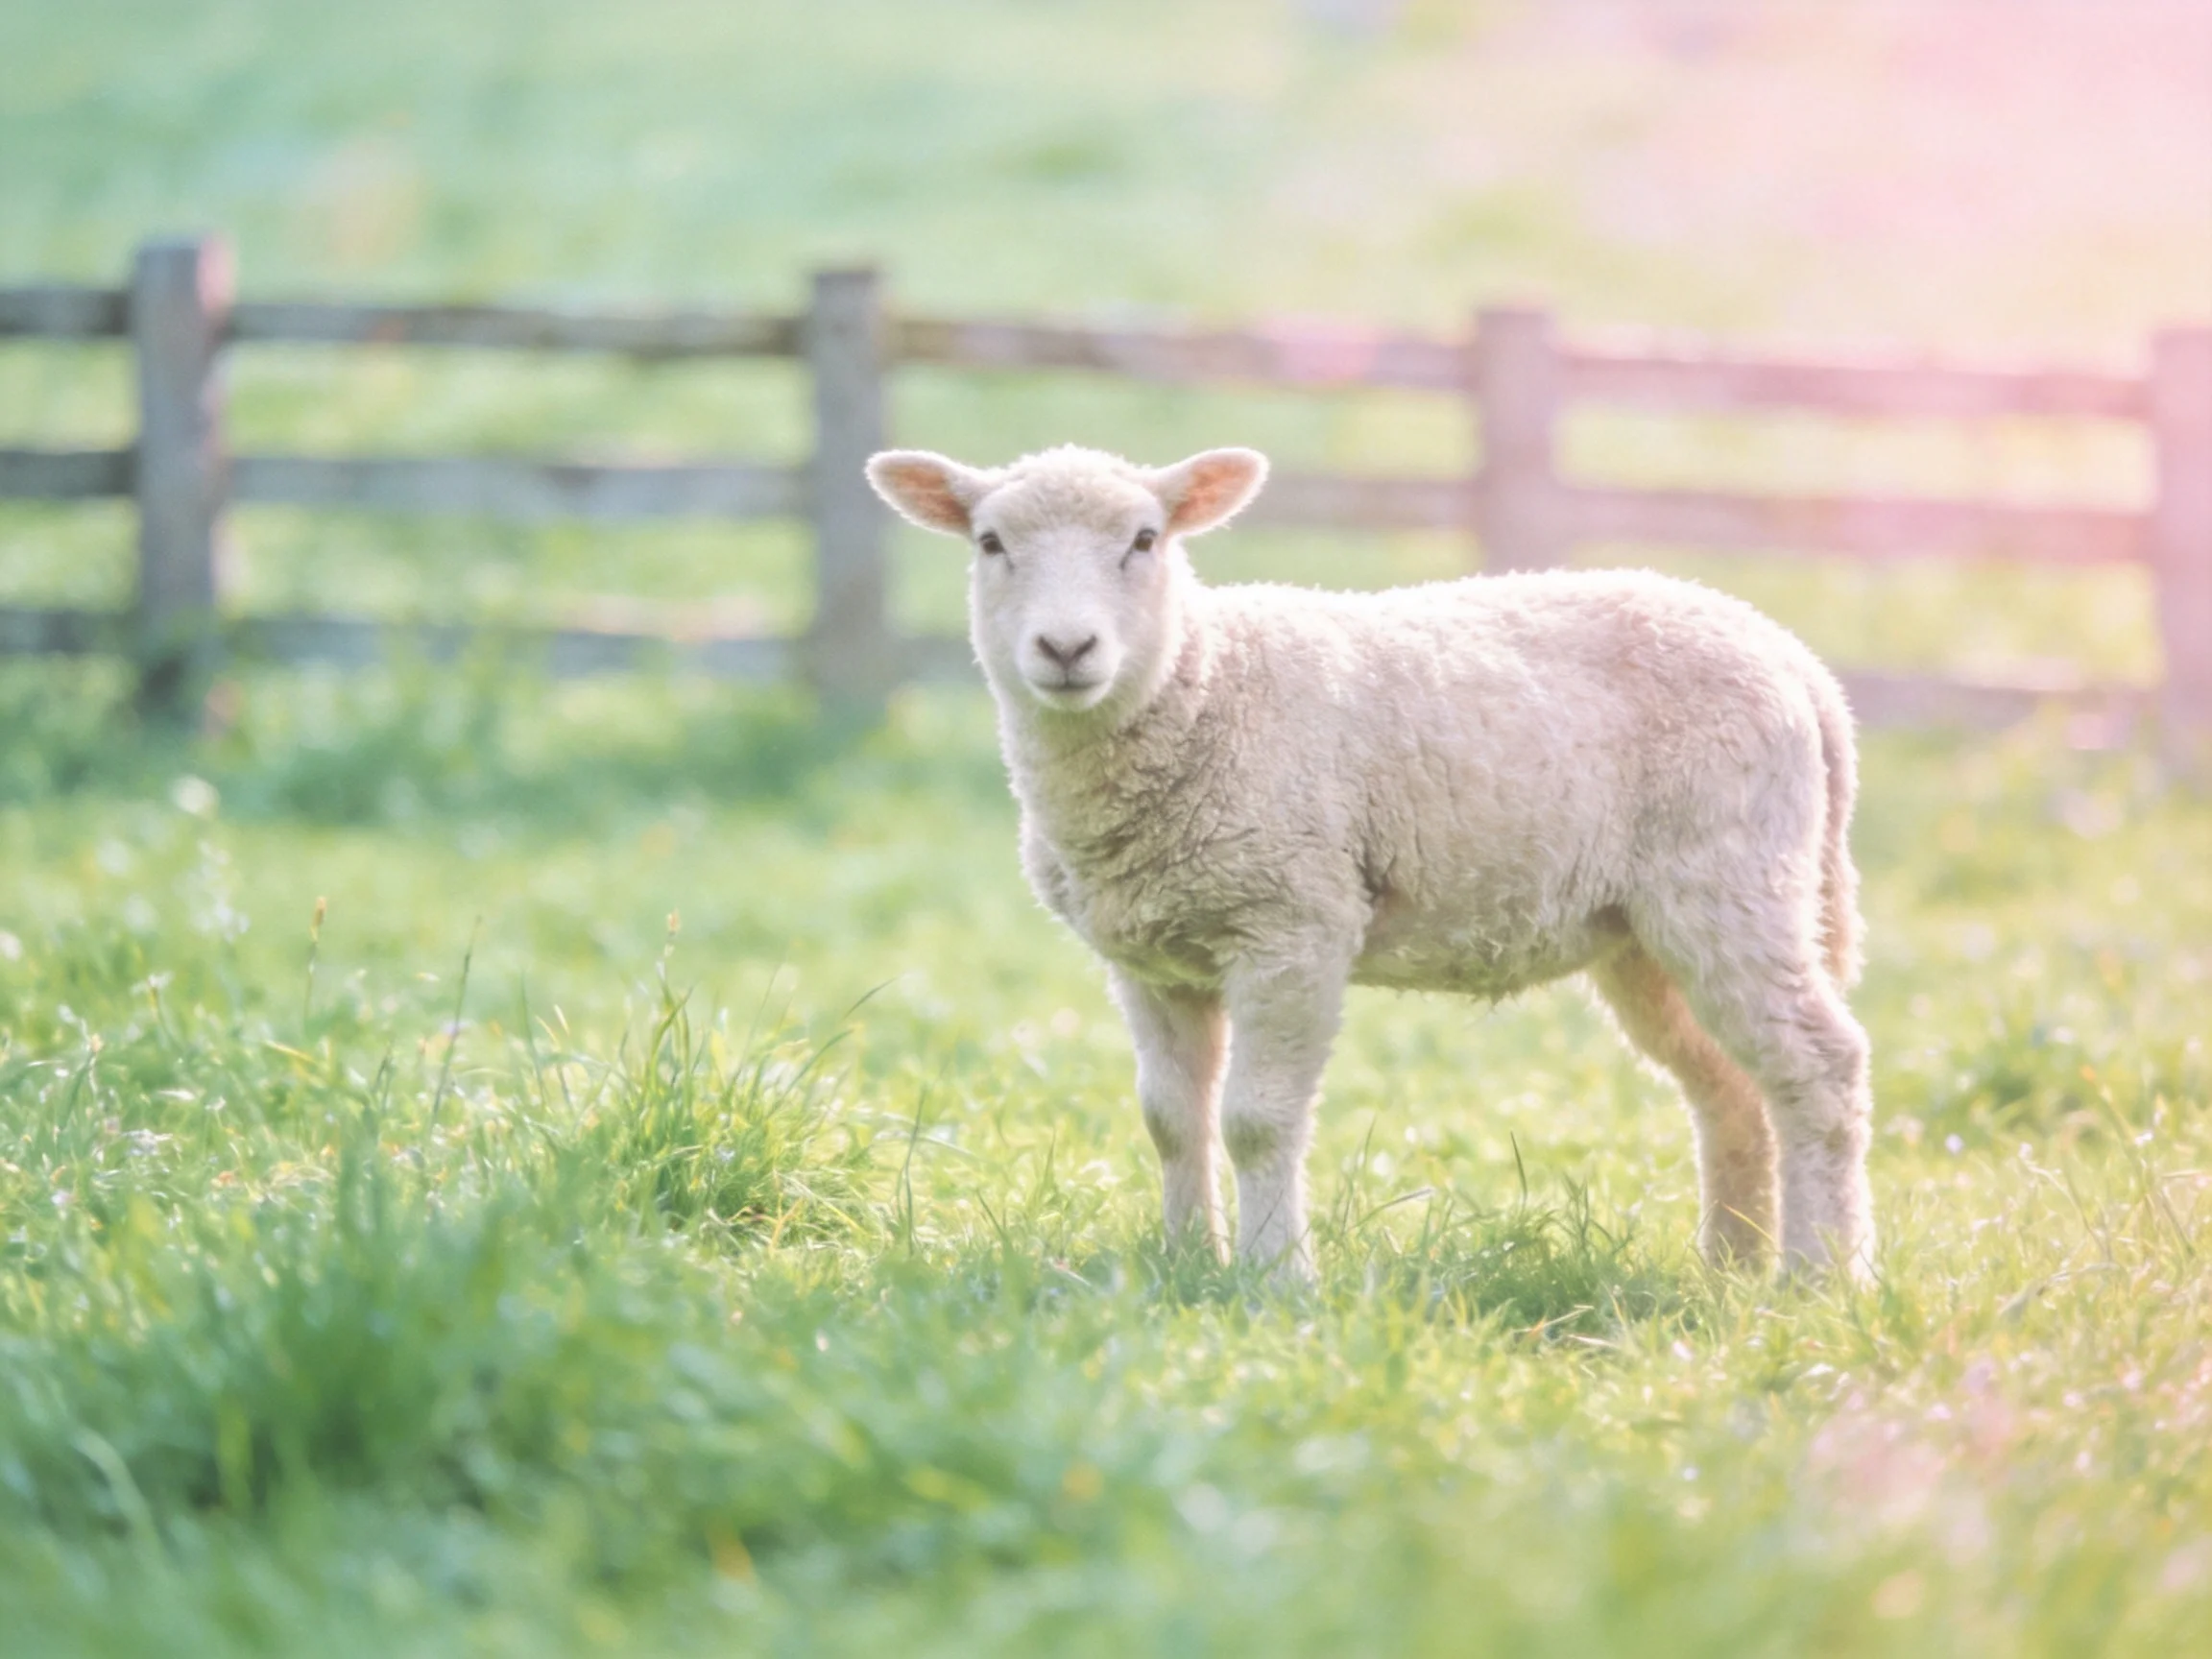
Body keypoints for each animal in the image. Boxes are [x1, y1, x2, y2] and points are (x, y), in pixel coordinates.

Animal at [866, 442, 1874, 1282]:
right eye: (991, 542)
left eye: (1145, 540)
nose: (1067, 648)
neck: (1205, 688)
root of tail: (1798, 662)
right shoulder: (1150, 959)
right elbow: (1171, 1121)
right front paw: (1187, 1262)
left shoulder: (1293, 923)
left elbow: (1256, 1121)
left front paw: (1275, 1281)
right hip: (1643, 931)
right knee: (1730, 1088)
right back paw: (1731, 1269)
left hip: (1733, 876)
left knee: (1820, 1067)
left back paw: (1821, 1279)